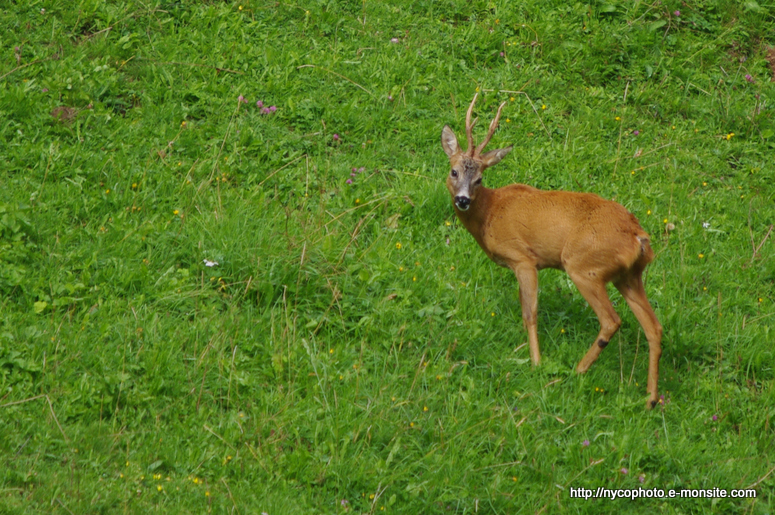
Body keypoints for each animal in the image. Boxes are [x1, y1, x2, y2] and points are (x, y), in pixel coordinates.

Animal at [446, 91, 664, 408]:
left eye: (479, 179)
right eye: (454, 171)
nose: (462, 200)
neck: (490, 212)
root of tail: (639, 238)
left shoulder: (523, 259)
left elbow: (530, 312)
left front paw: (536, 362)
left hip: (584, 267)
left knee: (611, 320)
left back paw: (578, 370)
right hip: (629, 276)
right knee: (653, 327)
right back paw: (649, 399)